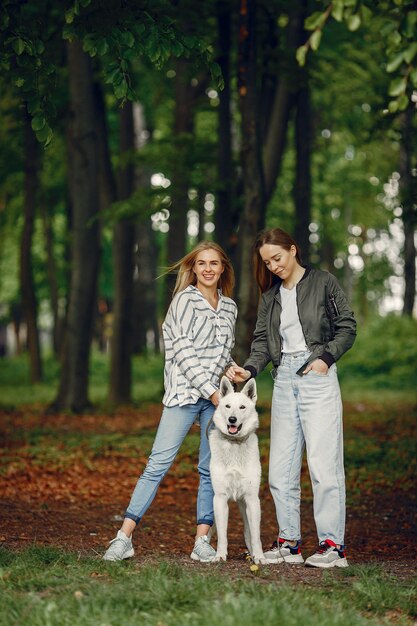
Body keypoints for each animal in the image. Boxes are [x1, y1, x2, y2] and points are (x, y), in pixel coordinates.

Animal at [210, 372, 264, 564]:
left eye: (242, 407)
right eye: (227, 406)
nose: (232, 419)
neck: (234, 444)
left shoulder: (252, 499)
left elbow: (255, 535)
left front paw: (260, 557)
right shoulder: (220, 499)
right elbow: (222, 534)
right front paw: (219, 555)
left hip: (245, 505)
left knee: (249, 531)